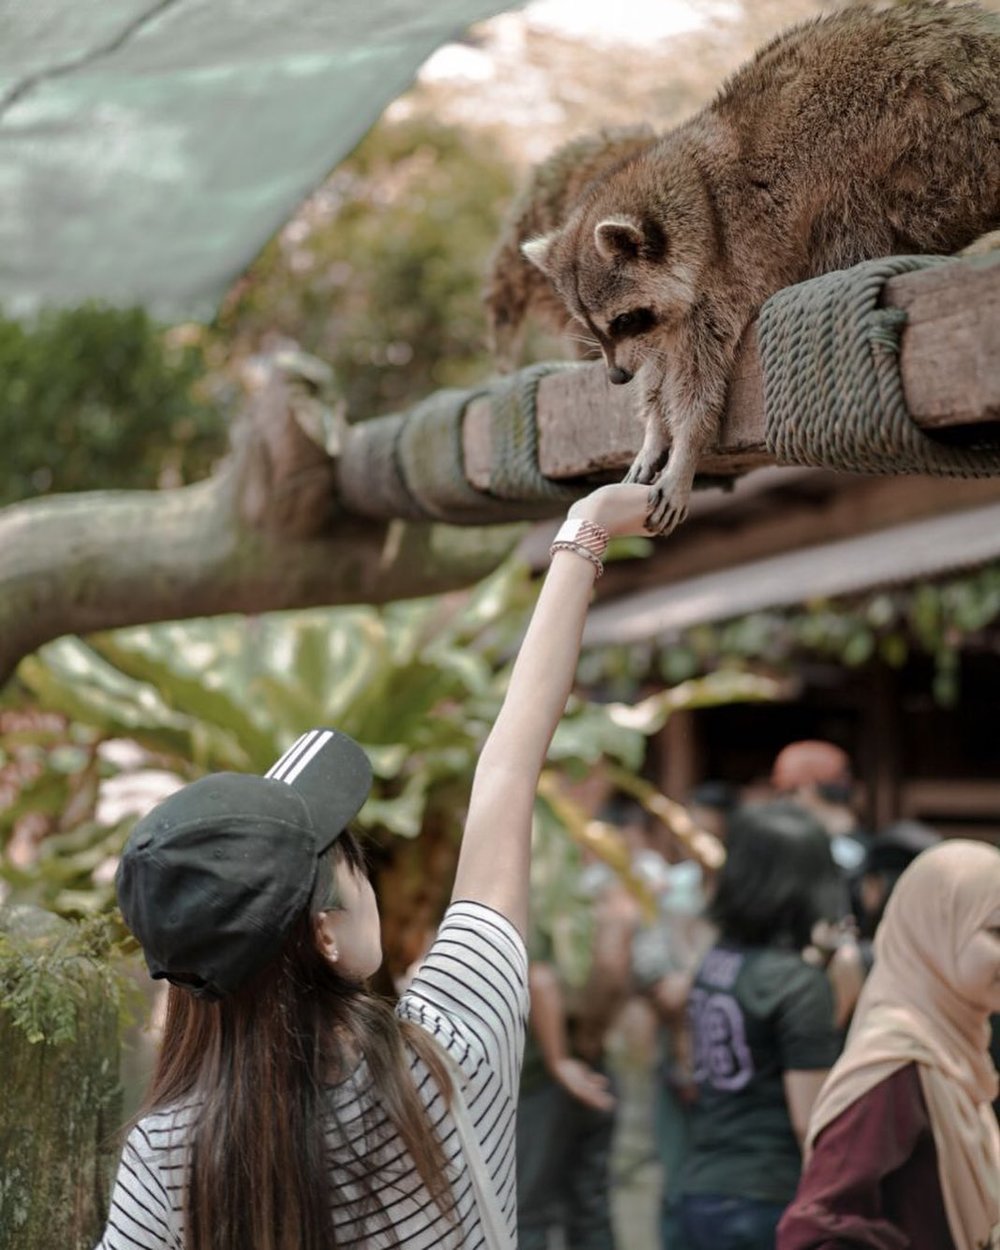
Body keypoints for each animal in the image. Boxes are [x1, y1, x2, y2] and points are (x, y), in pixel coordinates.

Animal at [515, 0, 1000, 530]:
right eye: (594, 327)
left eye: (622, 319)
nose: (615, 378)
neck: (698, 198)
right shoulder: (674, 310)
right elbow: (660, 366)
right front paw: (655, 427)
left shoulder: (724, 274)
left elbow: (698, 380)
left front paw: (685, 448)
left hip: (922, 130)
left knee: (852, 207)